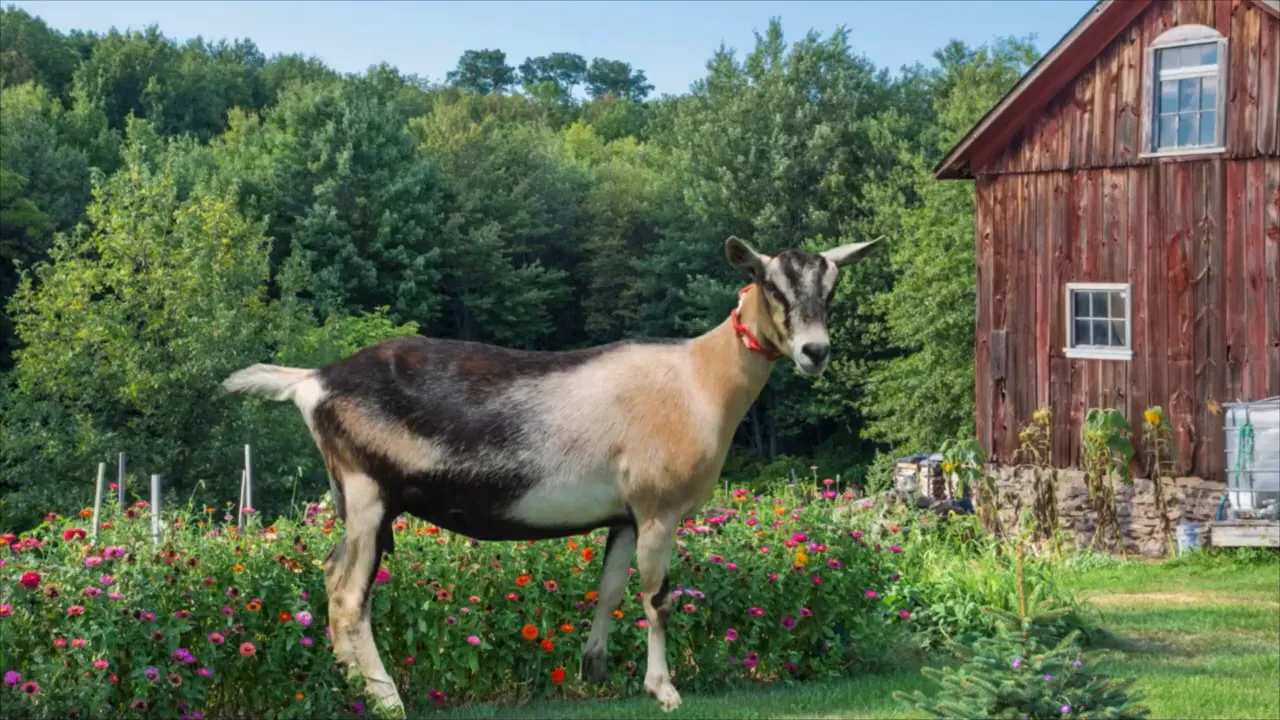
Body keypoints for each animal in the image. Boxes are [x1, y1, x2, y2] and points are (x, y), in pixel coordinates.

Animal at [221, 235, 882, 716]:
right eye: (771, 285)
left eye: (834, 286)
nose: (815, 353)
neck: (700, 380)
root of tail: (312, 381)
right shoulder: (658, 508)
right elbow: (656, 598)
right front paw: (665, 689)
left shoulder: (624, 514)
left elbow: (610, 588)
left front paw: (595, 670)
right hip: (367, 493)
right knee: (345, 592)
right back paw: (384, 698)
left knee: (335, 582)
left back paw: (350, 684)